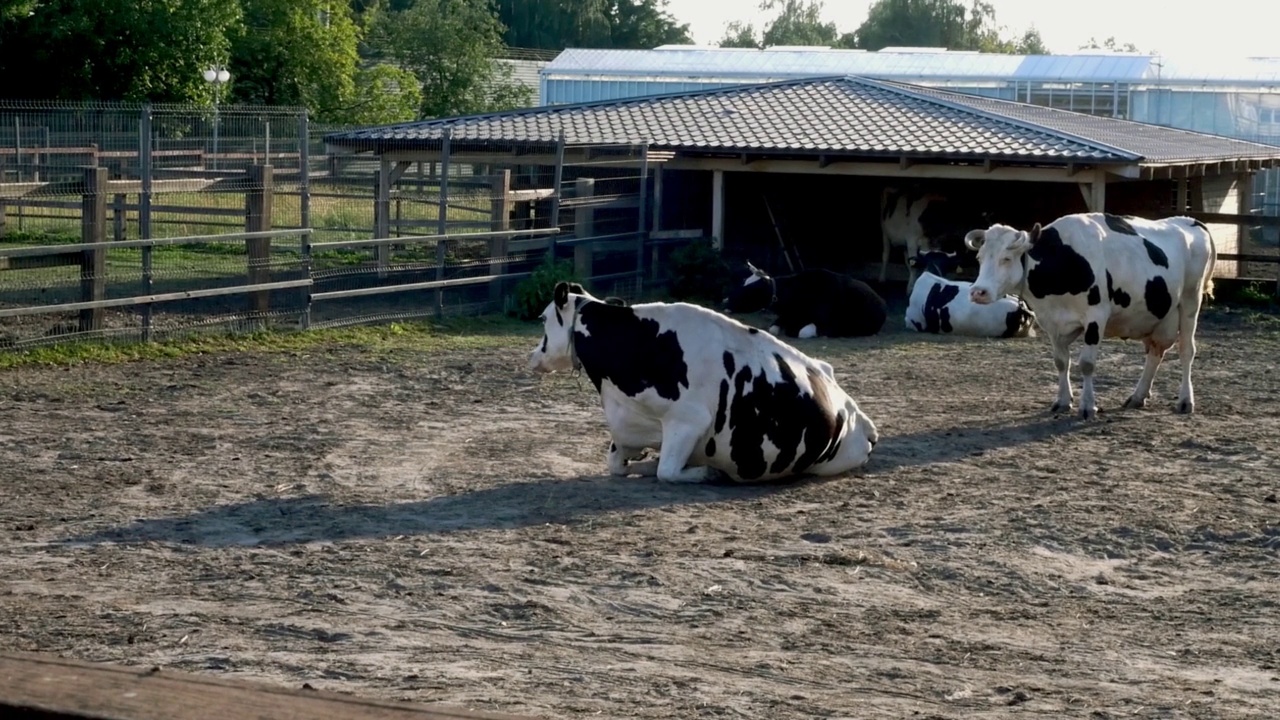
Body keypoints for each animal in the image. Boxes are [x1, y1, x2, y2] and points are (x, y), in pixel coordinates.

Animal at [529, 280, 880, 481]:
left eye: (543, 318)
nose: (533, 355)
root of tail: (863, 422)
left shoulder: (688, 421)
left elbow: (667, 472)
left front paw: (707, 471)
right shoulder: (628, 426)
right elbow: (618, 464)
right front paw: (641, 463)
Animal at [721, 262, 890, 338]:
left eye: (751, 289)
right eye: (744, 281)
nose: (726, 300)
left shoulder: (825, 326)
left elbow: (802, 332)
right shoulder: (786, 317)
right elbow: (773, 328)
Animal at [962, 210, 1213, 417]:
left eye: (1006, 259)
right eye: (979, 258)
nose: (978, 292)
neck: (1062, 260)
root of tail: (1190, 221)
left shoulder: (1096, 317)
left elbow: (1087, 364)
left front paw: (1088, 406)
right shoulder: (1052, 323)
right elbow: (1061, 362)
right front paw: (1063, 401)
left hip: (1191, 301)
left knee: (1186, 351)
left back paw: (1185, 401)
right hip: (1157, 317)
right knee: (1155, 352)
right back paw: (1138, 396)